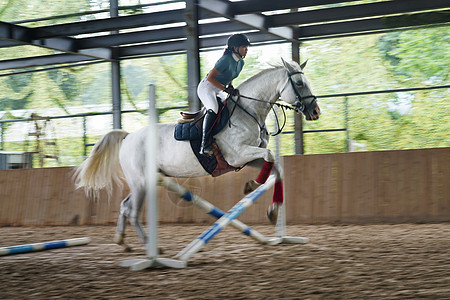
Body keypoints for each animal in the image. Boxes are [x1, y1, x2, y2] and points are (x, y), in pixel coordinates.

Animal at [74, 58, 320, 248]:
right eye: (299, 83)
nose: (315, 112)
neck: (248, 112)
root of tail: (128, 137)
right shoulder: (238, 154)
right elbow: (270, 156)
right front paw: (251, 186)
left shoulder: (246, 158)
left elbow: (276, 169)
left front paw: (272, 211)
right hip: (142, 181)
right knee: (133, 211)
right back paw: (149, 248)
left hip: (144, 181)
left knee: (126, 206)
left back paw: (122, 241)